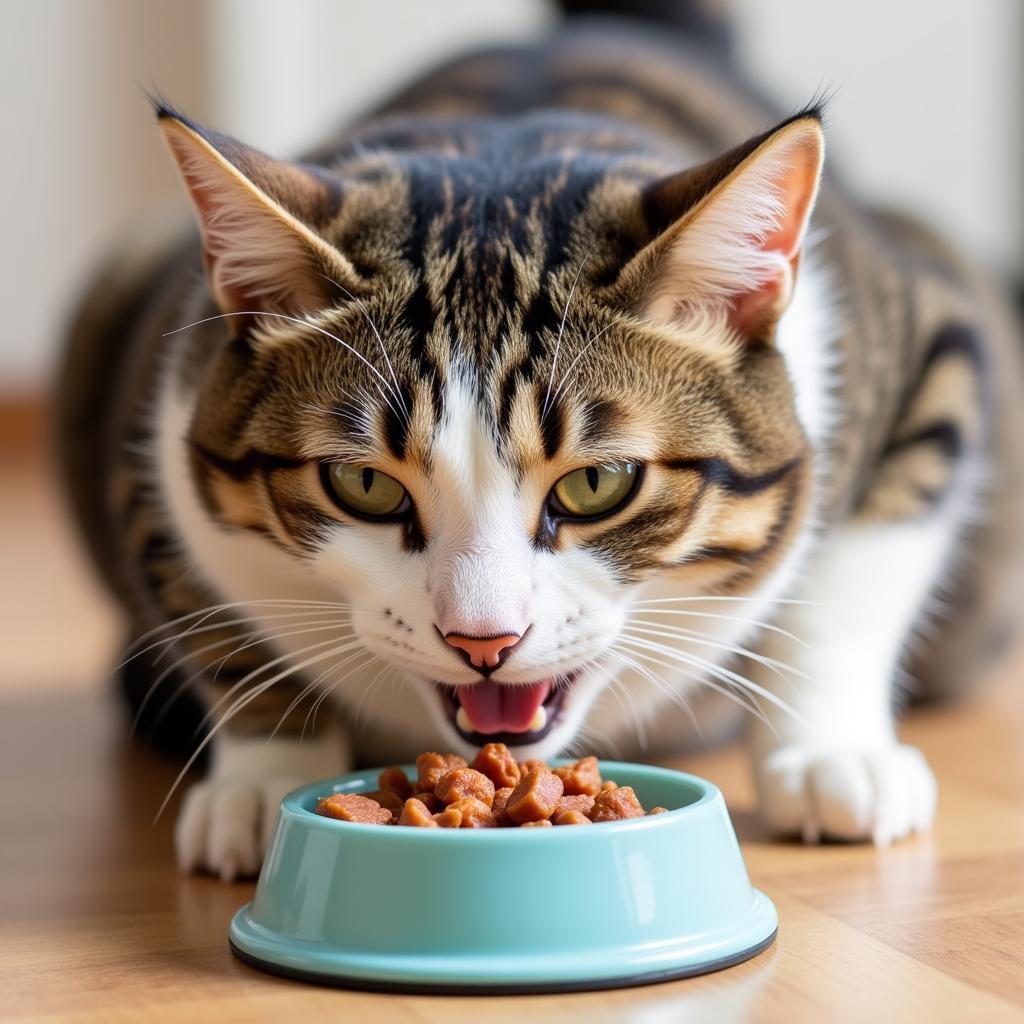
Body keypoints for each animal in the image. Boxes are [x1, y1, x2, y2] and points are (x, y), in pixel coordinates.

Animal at [58, 2, 1024, 880]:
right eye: (363, 486)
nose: (482, 642)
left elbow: (852, 582)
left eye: (599, 484)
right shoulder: (162, 423)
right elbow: (222, 623)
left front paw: (831, 756)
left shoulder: (933, 347)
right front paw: (264, 782)